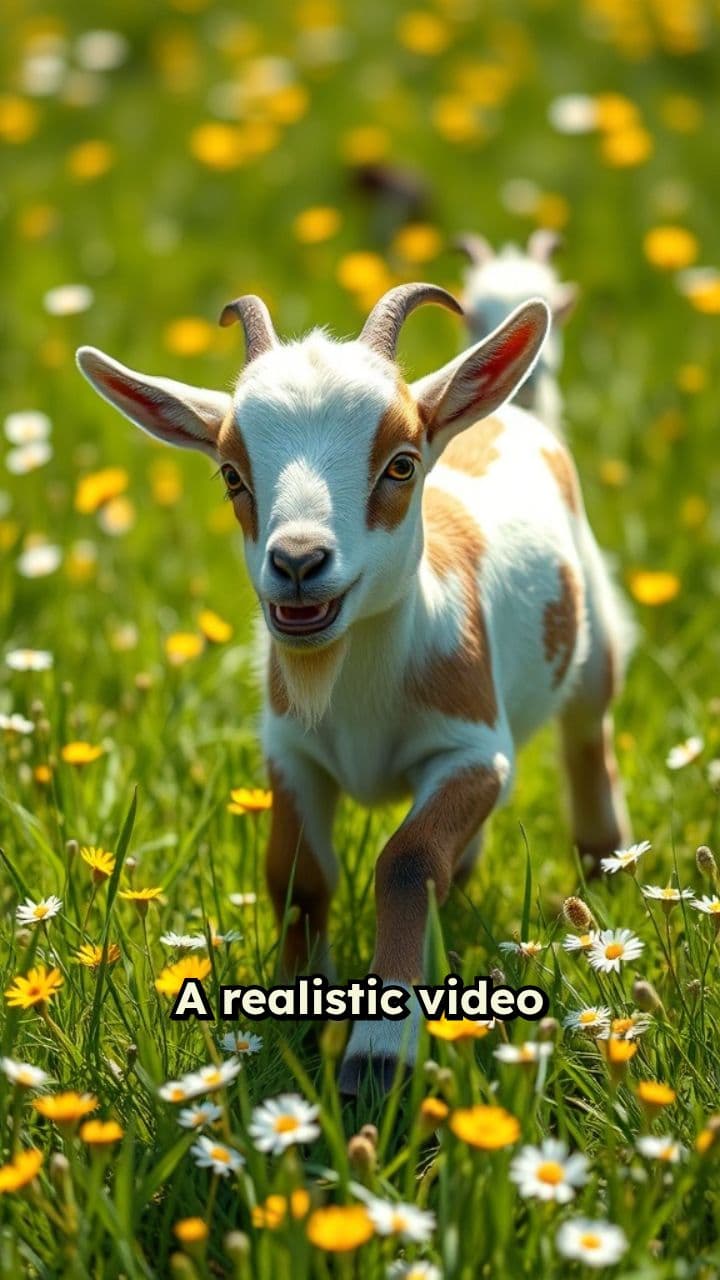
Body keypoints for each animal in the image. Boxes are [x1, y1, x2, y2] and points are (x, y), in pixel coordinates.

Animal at [76, 282, 630, 1093]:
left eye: (400, 465)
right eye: (231, 474)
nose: (298, 561)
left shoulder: (473, 751)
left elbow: (404, 862)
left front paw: (378, 1058)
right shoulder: (293, 753)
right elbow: (296, 875)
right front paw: (298, 1014)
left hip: (592, 636)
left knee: (588, 733)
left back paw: (602, 869)